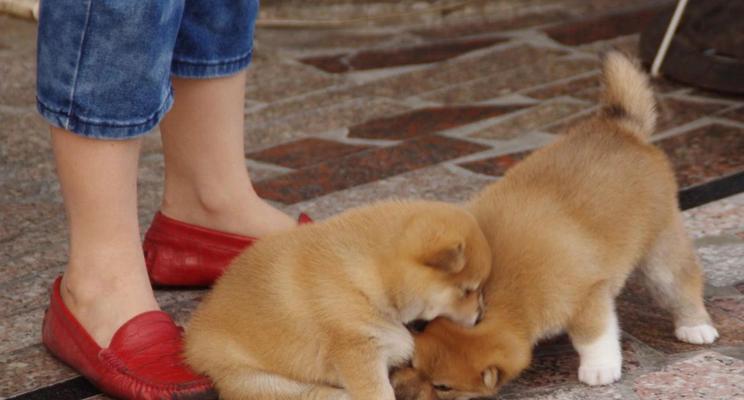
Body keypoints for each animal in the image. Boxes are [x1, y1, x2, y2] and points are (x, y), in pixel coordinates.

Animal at [183, 200, 492, 400]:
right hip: (255, 378)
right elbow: (379, 393)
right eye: (467, 290)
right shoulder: (358, 353)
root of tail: (192, 340)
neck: (366, 281)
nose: (480, 315)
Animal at [410, 53, 716, 400]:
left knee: (682, 284)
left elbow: (594, 337)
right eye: (412, 366)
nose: (405, 394)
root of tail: (622, 128)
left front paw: (599, 368)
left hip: (661, 252)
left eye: (442, 386)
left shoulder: (587, 297)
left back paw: (696, 326)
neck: (498, 289)